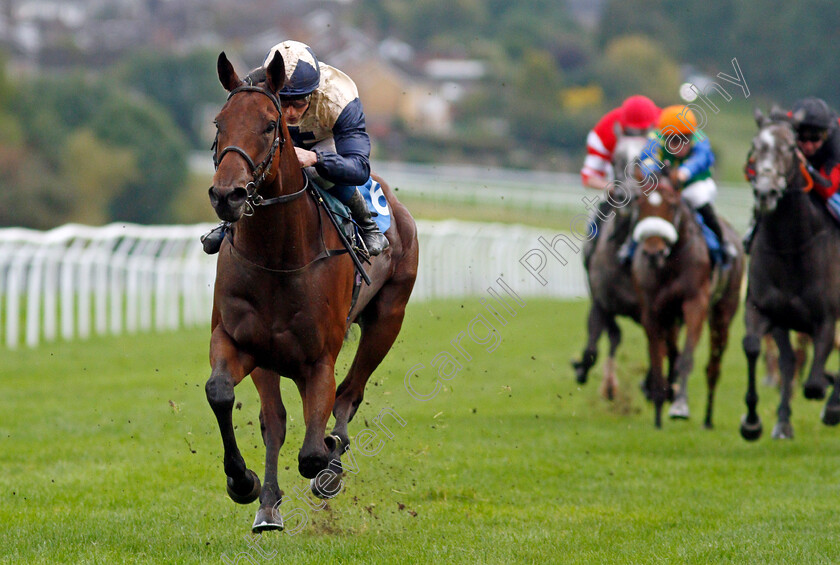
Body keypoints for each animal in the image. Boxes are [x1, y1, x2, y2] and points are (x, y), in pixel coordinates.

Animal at [204, 51, 420, 528]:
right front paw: (246, 485)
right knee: (284, 417)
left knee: (348, 396)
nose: (227, 195)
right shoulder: (241, 341)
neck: (279, 257)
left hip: (387, 321)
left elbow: (312, 450)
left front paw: (327, 464)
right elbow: (228, 397)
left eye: (270, 124)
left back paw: (332, 463)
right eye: (219, 122)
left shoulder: (320, 358)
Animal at [632, 170, 740, 426]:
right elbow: (658, 359)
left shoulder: (695, 304)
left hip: (722, 313)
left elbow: (686, 358)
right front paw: (658, 412)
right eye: (639, 203)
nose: (653, 253)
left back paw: (708, 418)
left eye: (672, 205)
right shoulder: (651, 310)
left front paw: (680, 405)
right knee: (672, 349)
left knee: (713, 365)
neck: (671, 263)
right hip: (672, 316)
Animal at [740, 107, 840, 440]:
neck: (790, 247)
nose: (766, 192)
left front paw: (831, 402)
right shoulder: (765, 310)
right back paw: (782, 420)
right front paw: (752, 422)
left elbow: (815, 383)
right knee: (787, 362)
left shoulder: (827, 318)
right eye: (755, 146)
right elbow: (755, 348)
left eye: (789, 148)